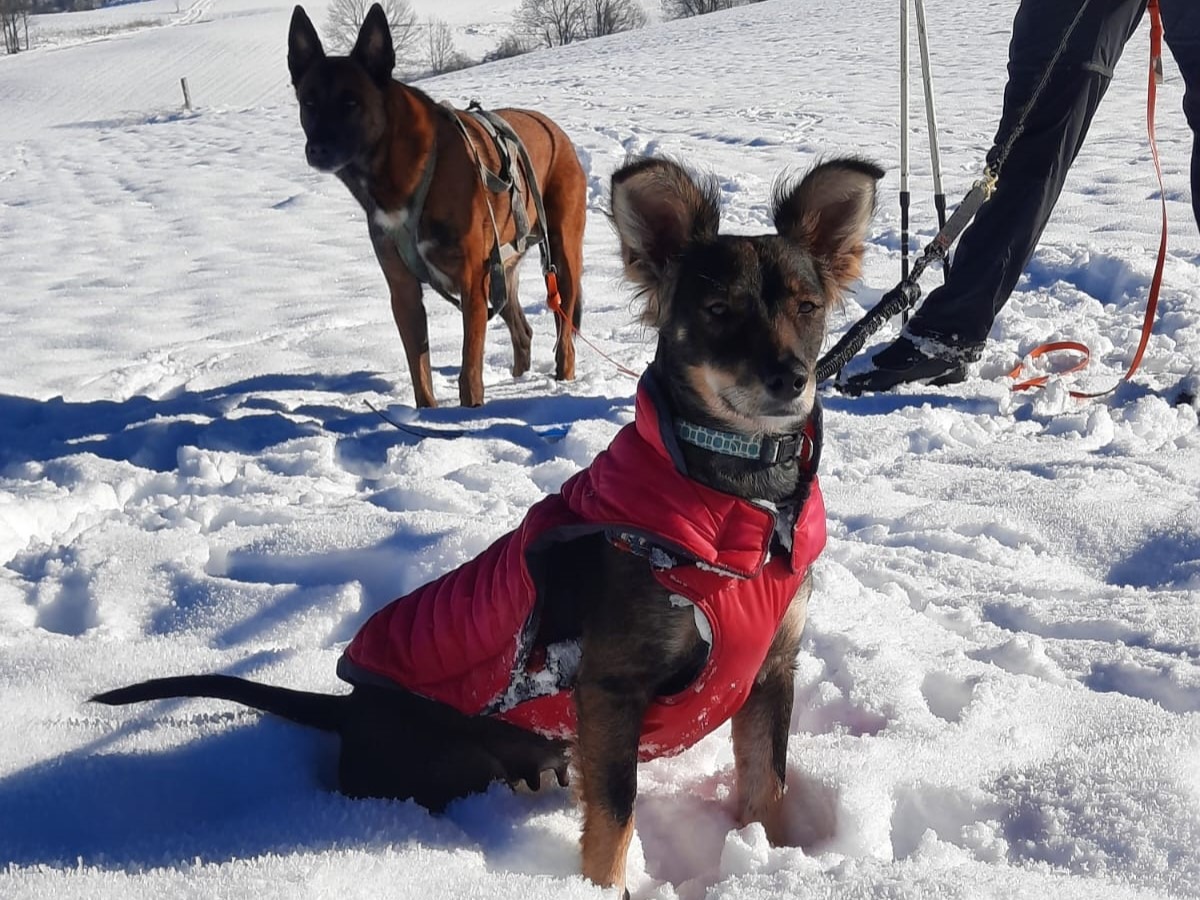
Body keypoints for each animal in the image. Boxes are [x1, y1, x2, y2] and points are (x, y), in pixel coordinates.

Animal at [93, 155, 882, 895]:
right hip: (444, 764)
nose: (791, 379)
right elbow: (615, 815)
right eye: (718, 309)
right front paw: (604, 889)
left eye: (809, 306)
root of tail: (351, 709)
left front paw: (770, 860)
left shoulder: (771, 671)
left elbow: (765, 786)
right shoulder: (611, 688)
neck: (736, 498)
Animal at [287, 3, 587, 408]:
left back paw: (563, 380)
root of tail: (556, 130)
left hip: (560, 257)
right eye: (309, 103)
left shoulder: (472, 282)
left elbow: (469, 370)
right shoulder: (404, 292)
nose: (317, 149)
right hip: (502, 270)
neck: (394, 170)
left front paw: (470, 411)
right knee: (523, 331)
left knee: (564, 335)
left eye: (351, 103)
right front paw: (428, 415)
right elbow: (421, 373)